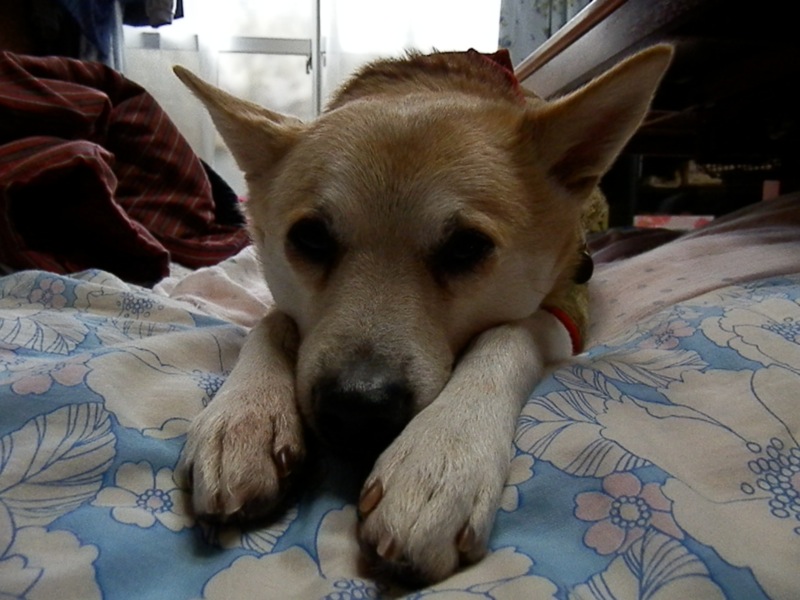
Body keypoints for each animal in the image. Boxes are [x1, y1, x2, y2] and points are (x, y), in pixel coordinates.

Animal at [174, 44, 672, 584]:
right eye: (309, 238)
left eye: (467, 247)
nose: (357, 409)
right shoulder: (280, 299)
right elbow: (272, 323)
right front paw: (243, 414)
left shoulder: (566, 302)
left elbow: (507, 333)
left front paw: (440, 452)